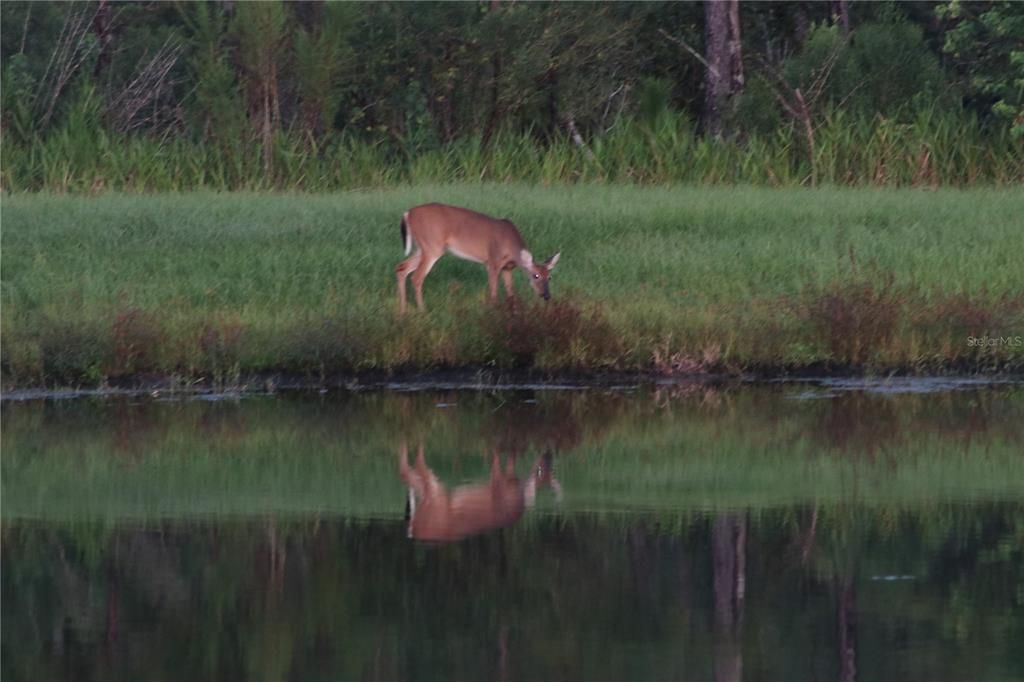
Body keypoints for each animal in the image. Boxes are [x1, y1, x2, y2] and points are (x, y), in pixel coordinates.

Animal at [395, 201, 565, 313]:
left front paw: (513, 312)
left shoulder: (507, 268)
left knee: (401, 268)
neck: (511, 246)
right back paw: (422, 310)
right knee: (416, 277)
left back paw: (403, 311)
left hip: (421, 248)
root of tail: (407, 214)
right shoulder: (493, 261)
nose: (546, 295)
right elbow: (494, 291)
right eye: (535, 275)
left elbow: (510, 293)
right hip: (432, 246)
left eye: (549, 277)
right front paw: (493, 312)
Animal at [397, 440, 561, 540]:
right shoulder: (499, 484)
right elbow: (497, 457)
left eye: (551, 469)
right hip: (436, 497)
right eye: (540, 471)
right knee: (410, 467)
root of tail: (415, 531)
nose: (549, 454)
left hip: (429, 498)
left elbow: (510, 455)